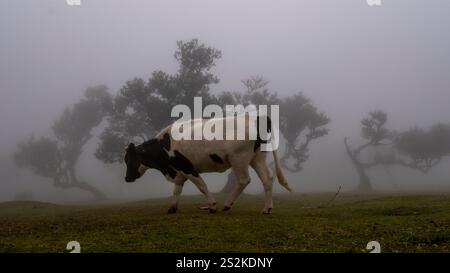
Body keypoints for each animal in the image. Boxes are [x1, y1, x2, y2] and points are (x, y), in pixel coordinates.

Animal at [124, 113, 292, 214]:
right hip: (257, 158)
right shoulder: (179, 172)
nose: (127, 178)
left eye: (129, 159)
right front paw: (172, 207)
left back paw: (228, 204)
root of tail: (251, 117)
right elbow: (177, 190)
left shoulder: (188, 168)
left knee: (244, 180)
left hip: (239, 159)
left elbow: (202, 187)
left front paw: (212, 205)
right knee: (267, 179)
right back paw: (267, 208)